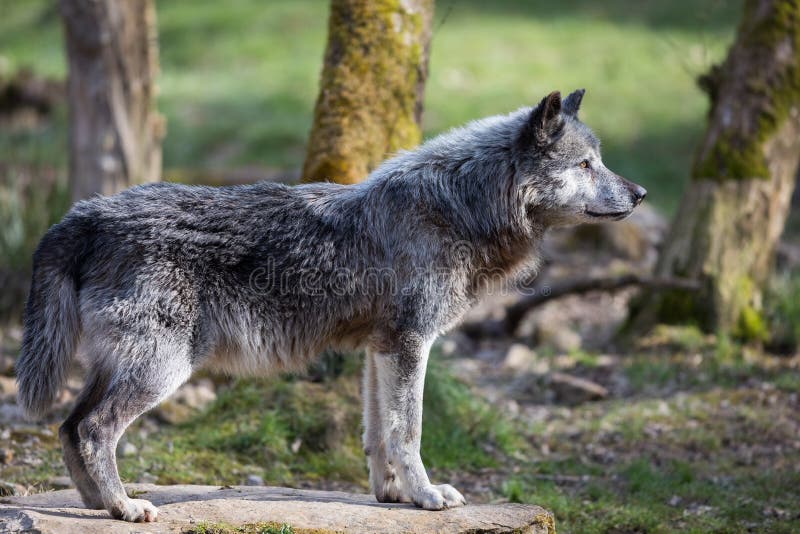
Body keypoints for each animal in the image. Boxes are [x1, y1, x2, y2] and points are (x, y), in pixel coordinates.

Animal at [15, 91, 648, 524]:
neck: (459, 208)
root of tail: (85, 213)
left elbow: (377, 434)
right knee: (93, 428)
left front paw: (391, 495)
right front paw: (426, 496)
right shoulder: (410, 344)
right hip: (162, 369)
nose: (641, 193)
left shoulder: (380, 349)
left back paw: (97, 505)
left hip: (125, 366)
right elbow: (408, 431)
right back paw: (125, 506)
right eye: (587, 165)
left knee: (69, 426)